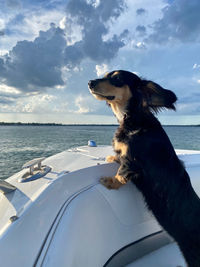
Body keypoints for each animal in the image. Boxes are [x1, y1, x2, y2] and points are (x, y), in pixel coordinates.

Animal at [88, 70, 200, 267]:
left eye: (117, 78)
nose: (90, 83)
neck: (134, 118)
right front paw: (112, 157)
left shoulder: (132, 160)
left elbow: (122, 173)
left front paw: (110, 181)